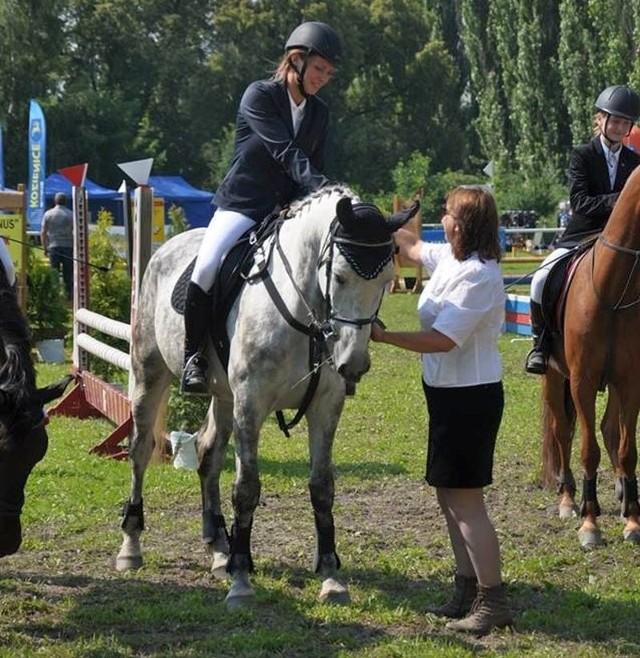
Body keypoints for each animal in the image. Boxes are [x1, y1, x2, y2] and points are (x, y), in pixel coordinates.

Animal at [117, 183, 418, 604]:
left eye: (387, 280)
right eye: (340, 277)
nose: (353, 364)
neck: (306, 317)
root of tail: (166, 247)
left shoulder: (325, 407)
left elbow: (322, 488)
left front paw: (330, 577)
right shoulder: (250, 404)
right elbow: (246, 489)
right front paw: (242, 581)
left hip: (223, 396)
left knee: (208, 453)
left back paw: (219, 549)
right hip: (149, 372)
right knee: (141, 450)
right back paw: (131, 547)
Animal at [544, 167, 640, 544]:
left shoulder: (628, 380)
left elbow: (628, 449)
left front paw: (632, 520)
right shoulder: (581, 381)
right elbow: (587, 449)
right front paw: (589, 523)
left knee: (610, 430)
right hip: (554, 375)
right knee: (561, 432)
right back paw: (569, 499)